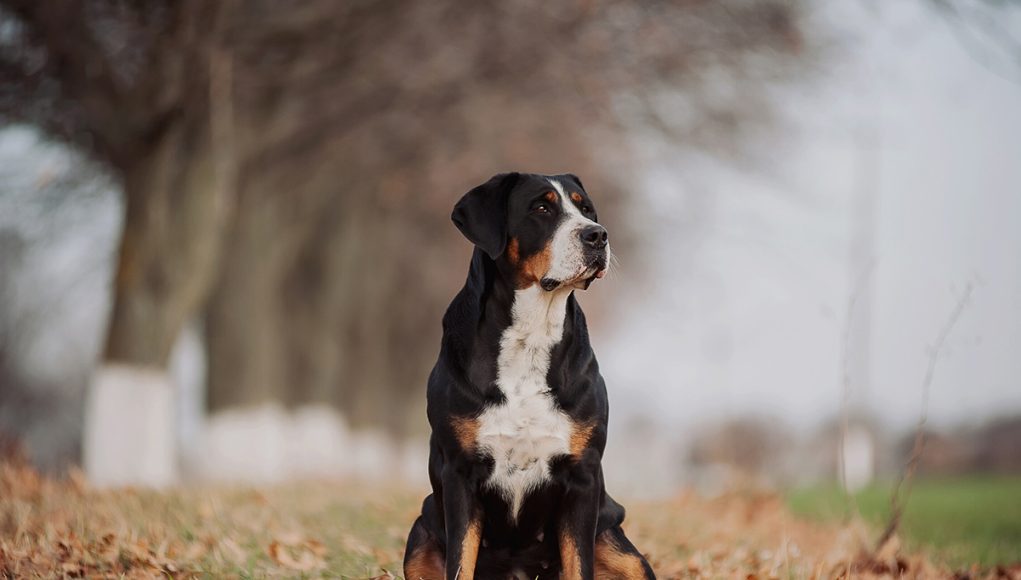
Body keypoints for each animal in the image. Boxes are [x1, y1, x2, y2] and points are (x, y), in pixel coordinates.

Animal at [400, 173, 653, 580]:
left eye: (586, 209)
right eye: (541, 208)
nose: (597, 235)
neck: (531, 335)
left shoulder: (583, 476)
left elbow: (579, 564)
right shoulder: (459, 474)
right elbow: (460, 562)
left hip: (619, 542)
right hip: (422, 530)